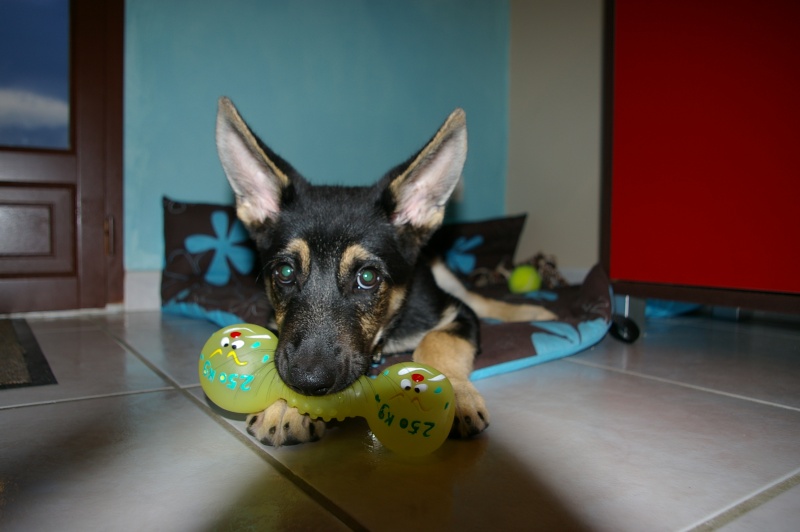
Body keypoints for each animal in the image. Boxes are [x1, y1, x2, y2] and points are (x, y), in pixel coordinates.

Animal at [217, 97, 556, 446]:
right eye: (285, 271)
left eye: (367, 278)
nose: (308, 382)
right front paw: (285, 405)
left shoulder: (457, 313)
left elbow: (436, 341)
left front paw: (453, 395)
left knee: (482, 301)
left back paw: (534, 312)